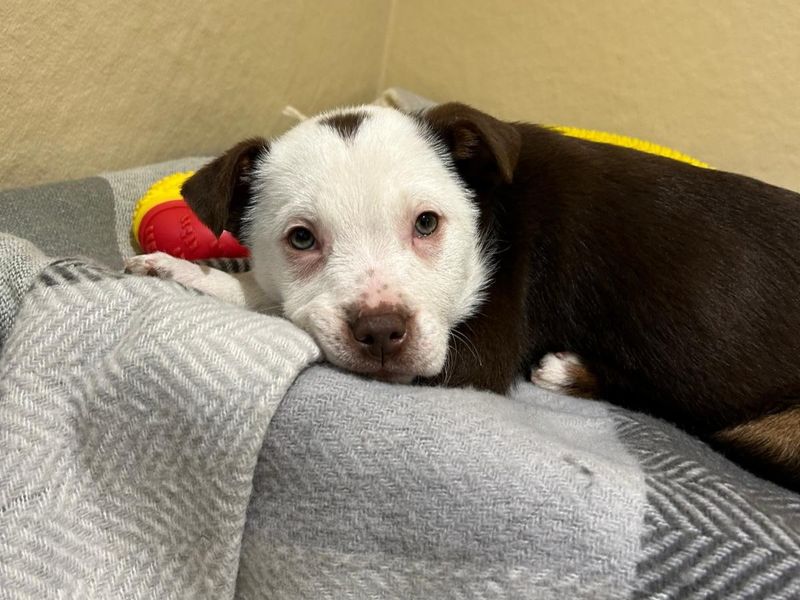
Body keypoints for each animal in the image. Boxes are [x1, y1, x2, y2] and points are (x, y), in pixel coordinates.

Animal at [126, 102, 800, 488]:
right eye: (301, 238)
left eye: (427, 223)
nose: (380, 332)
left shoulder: (474, 353)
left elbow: (274, 308)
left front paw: (202, 276)